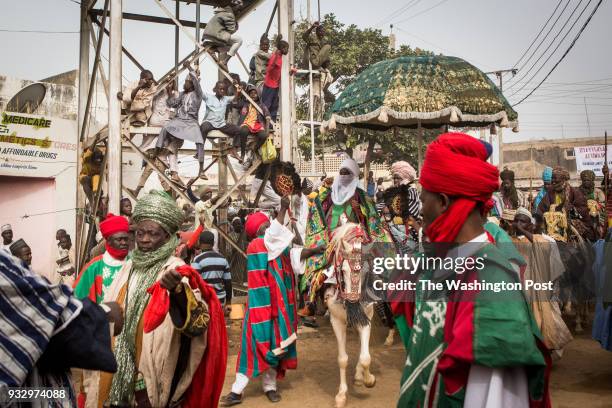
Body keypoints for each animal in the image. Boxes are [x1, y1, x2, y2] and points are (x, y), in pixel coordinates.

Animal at [322, 223, 376, 408]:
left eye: (366, 270)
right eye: (343, 269)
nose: (353, 300)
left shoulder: (366, 317)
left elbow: (366, 357)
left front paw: (369, 380)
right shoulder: (336, 321)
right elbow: (342, 359)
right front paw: (341, 395)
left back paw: (360, 376)